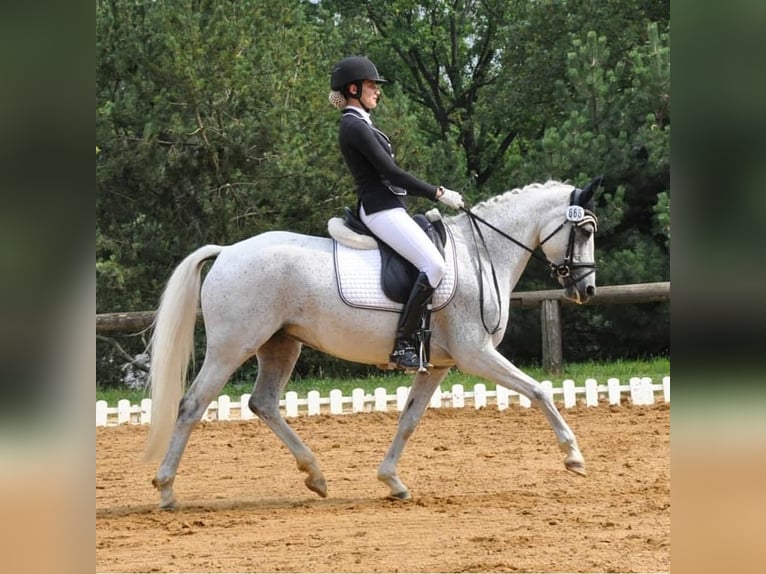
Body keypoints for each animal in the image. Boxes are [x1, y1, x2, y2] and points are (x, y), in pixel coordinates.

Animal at [142, 177, 600, 508]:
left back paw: (316, 475)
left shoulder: (437, 365)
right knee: (192, 404)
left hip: (281, 345)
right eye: (585, 230)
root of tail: (227, 251)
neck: (479, 255)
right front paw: (573, 456)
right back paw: (166, 489)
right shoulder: (476, 354)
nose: (587, 290)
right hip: (232, 346)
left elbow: (409, 419)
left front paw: (392, 481)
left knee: (264, 403)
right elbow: (539, 390)